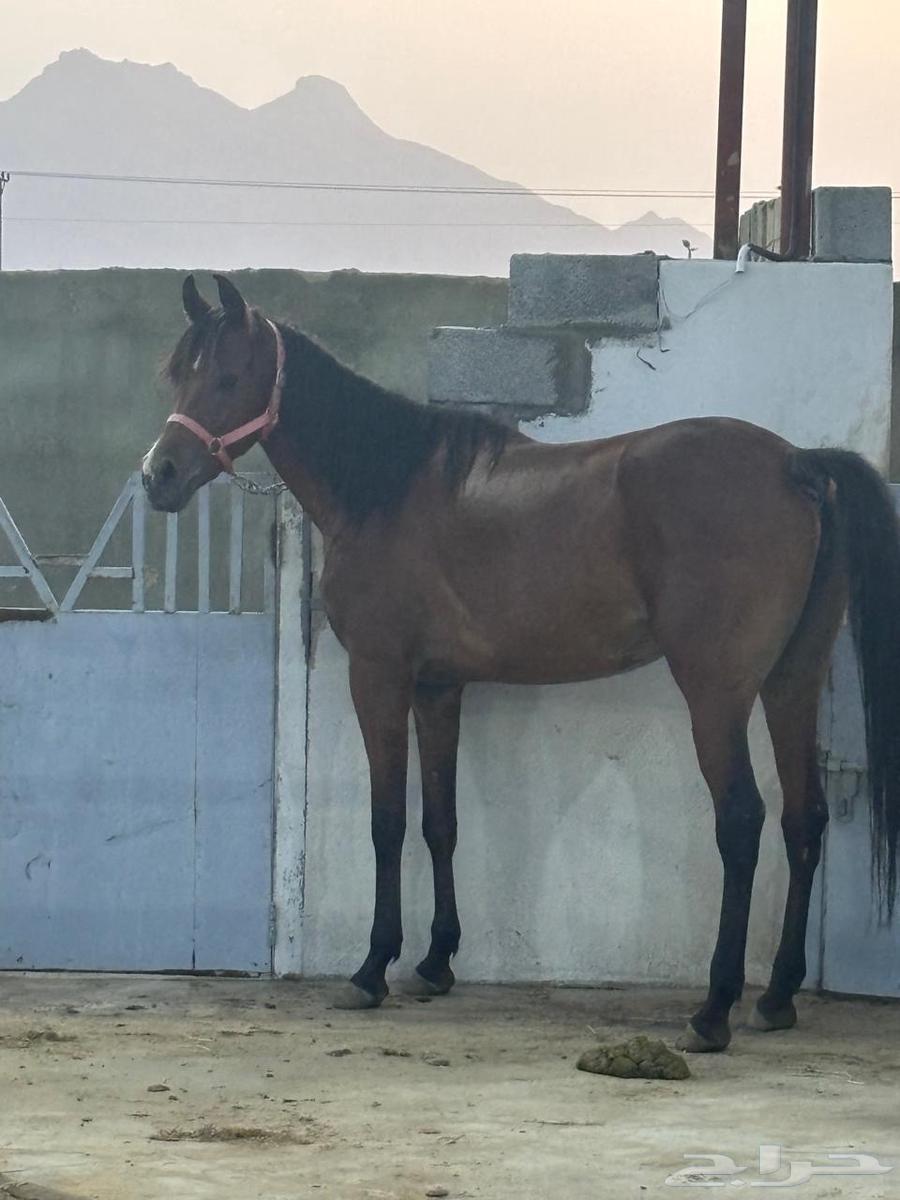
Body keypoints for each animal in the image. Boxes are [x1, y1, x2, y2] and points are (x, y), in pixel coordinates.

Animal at [142, 273, 900, 1053]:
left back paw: (713, 1009)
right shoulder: (439, 689)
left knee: (743, 821)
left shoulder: (378, 677)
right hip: (792, 682)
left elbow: (388, 821)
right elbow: (439, 821)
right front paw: (435, 962)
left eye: (228, 377)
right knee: (805, 819)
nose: (157, 475)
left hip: (716, 693)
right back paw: (776, 996)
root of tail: (796, 462)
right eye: (179, 374)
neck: (384, 489)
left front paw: (372, 969)